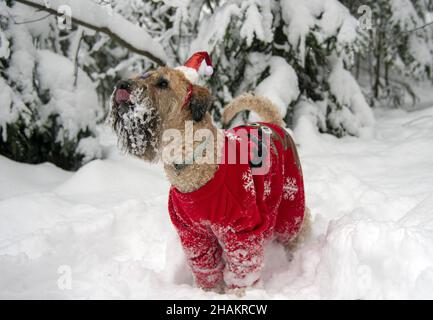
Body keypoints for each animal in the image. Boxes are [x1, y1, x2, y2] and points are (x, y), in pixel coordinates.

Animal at [109, 63, 308, 294]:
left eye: (163, 83)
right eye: (144, 75)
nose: (121, 85)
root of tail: (273, 123)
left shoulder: (240, 231)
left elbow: (242, 268)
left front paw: (241, 293)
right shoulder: (194, 235)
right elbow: (206, 267)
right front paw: (208, 292)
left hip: (290, 208)